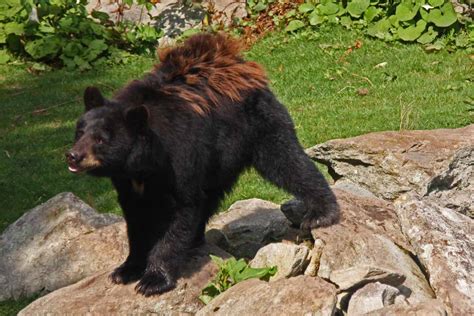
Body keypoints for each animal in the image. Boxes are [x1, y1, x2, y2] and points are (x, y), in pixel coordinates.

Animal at [66, 34, 338, 296]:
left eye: (101, 139)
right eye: (80, 131)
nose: (73, 156)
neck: (143, 164)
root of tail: (239, 63)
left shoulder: (180, 157)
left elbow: (183, 209)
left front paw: (154, 279)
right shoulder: (127, 181)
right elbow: (136, 218)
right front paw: (125, 270)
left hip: (257, 125)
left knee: (287, 161)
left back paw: (321, 213)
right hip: (219, 159)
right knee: (213, 195)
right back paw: (196, 239)